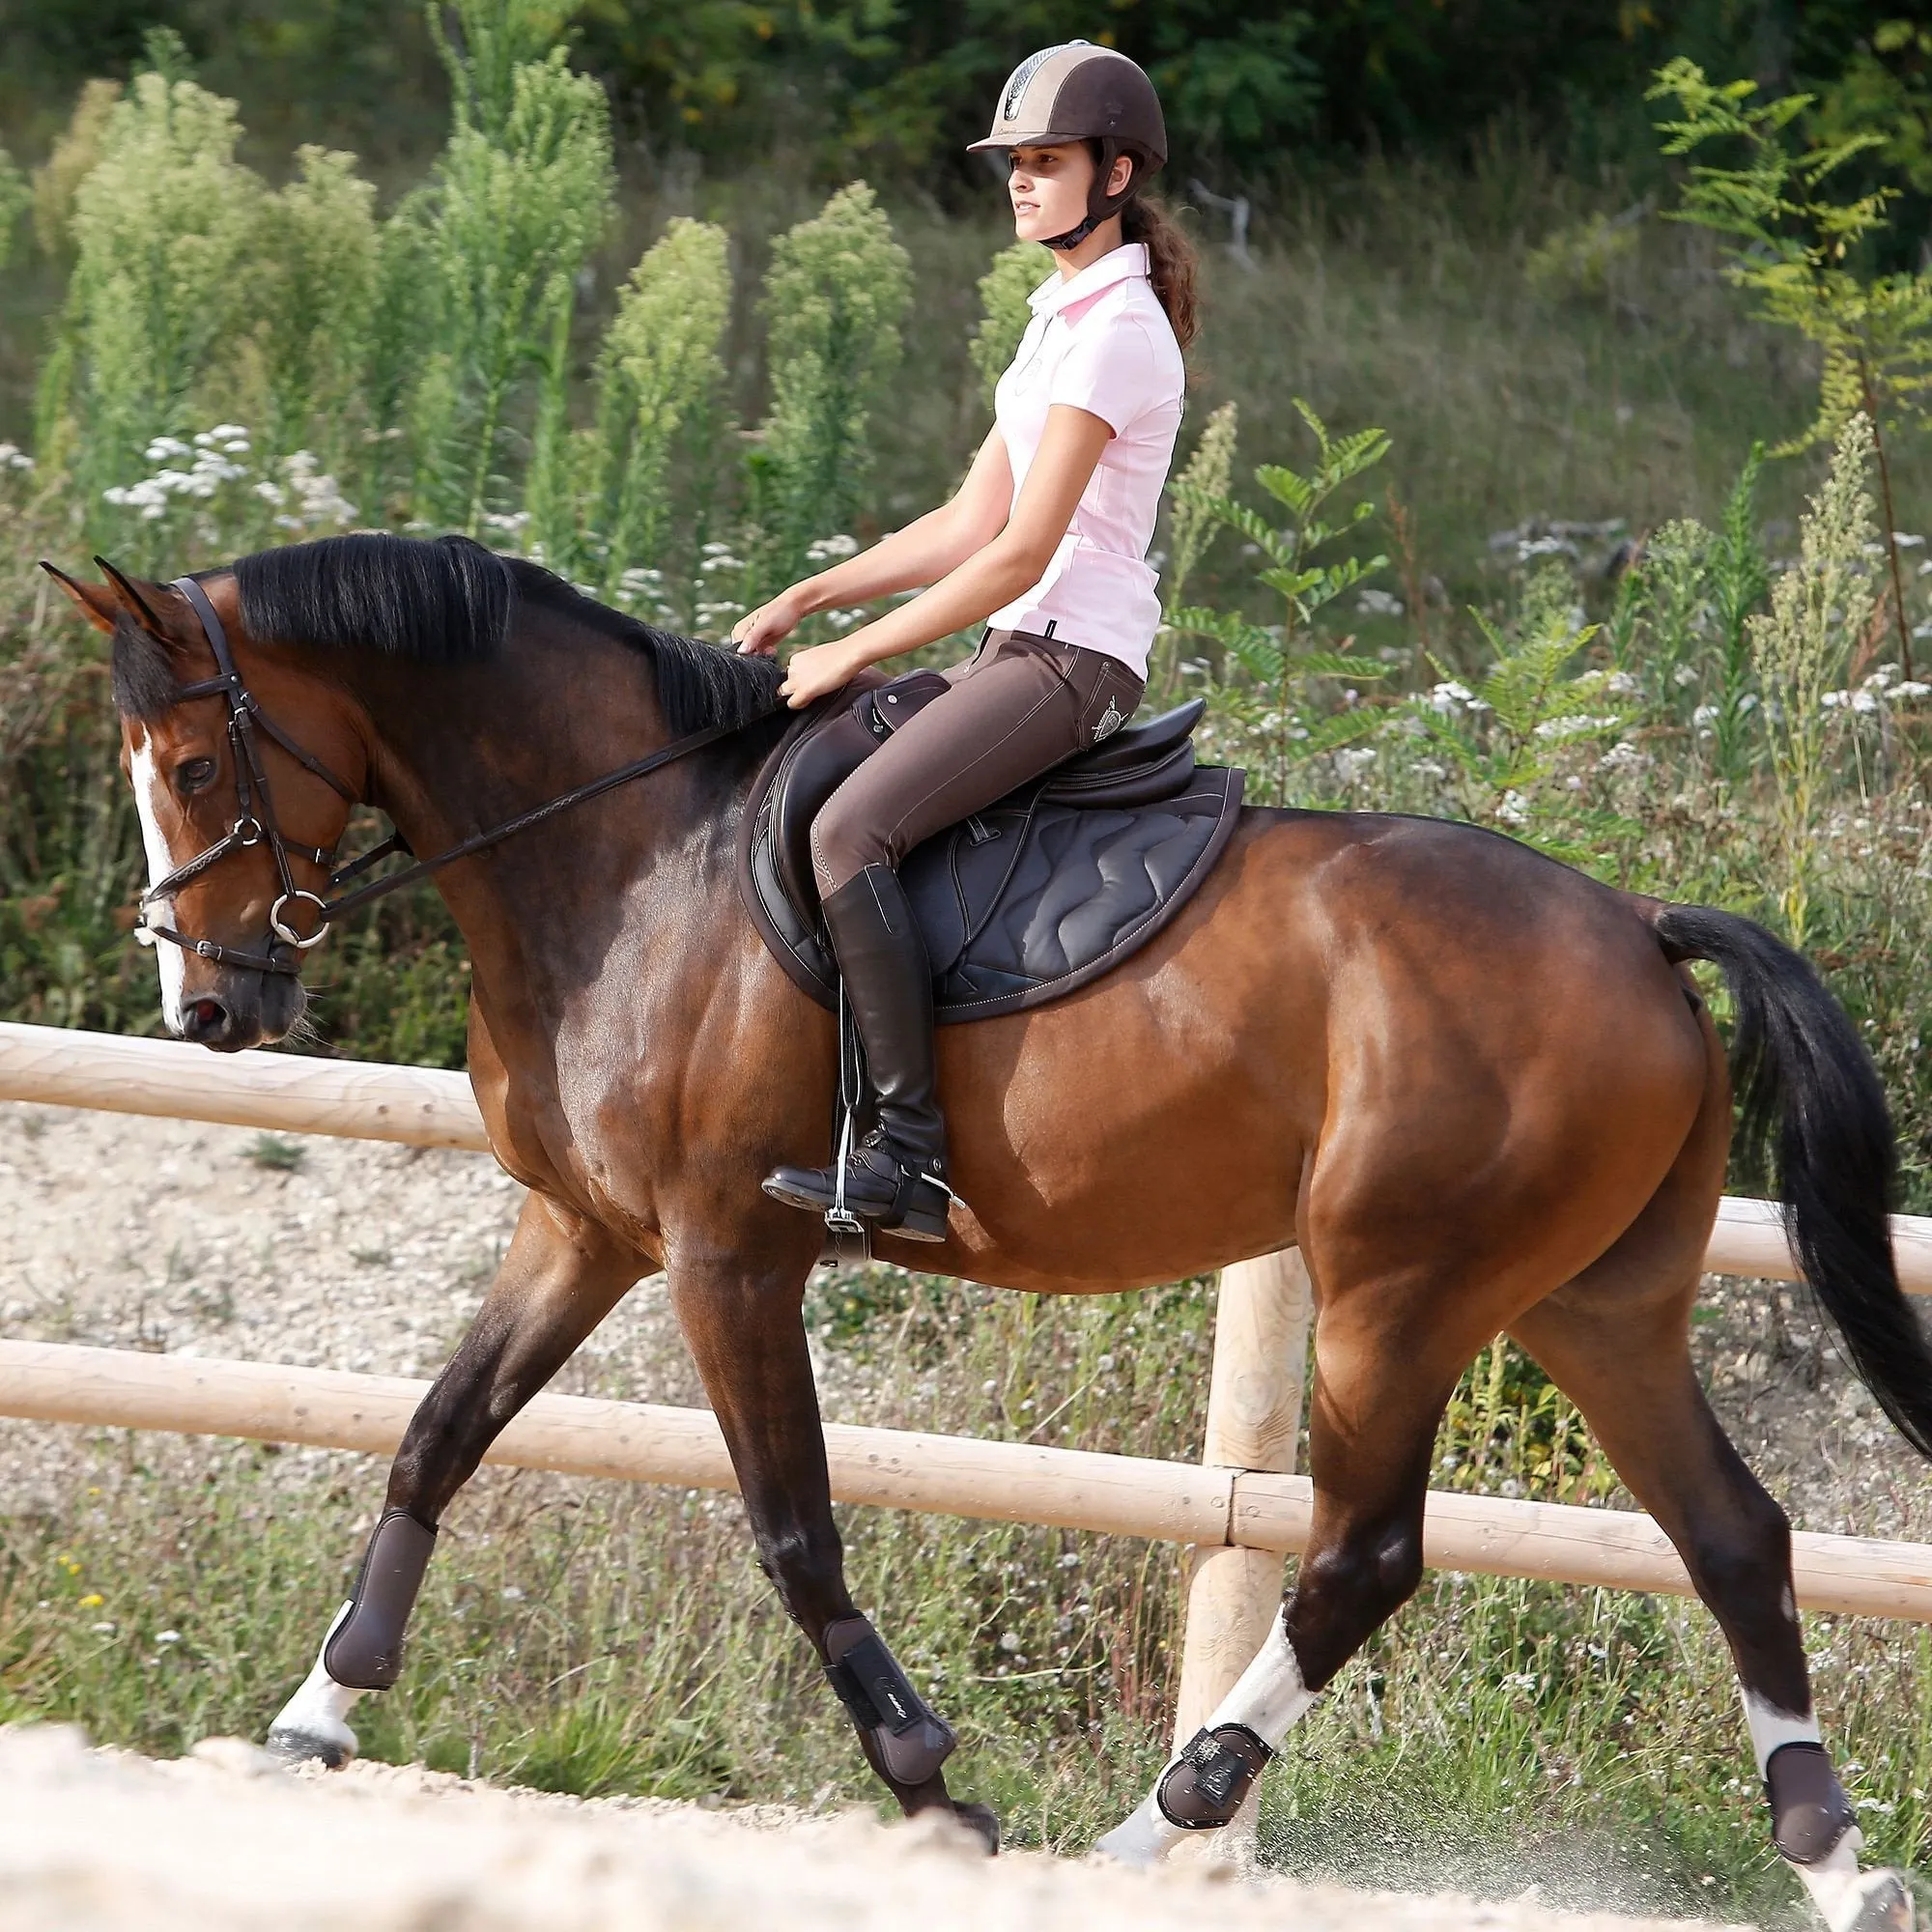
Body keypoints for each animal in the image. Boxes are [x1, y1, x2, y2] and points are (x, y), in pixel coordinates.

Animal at [45, 533, 1917, 1932]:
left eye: (196, 763)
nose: (209, 1007)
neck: (634, 855)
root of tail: (1638, 924)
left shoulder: (726, 1255)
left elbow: (795, 1529)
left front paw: (934, 1784)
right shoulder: (581, 1229)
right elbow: (437, 1436)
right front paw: (312, 1718)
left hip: (1402, 1290)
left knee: (1367, 1553)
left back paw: (1156, 1825)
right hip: (1591, 1302)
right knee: (1732, 1535)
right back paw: (1835, 1864)